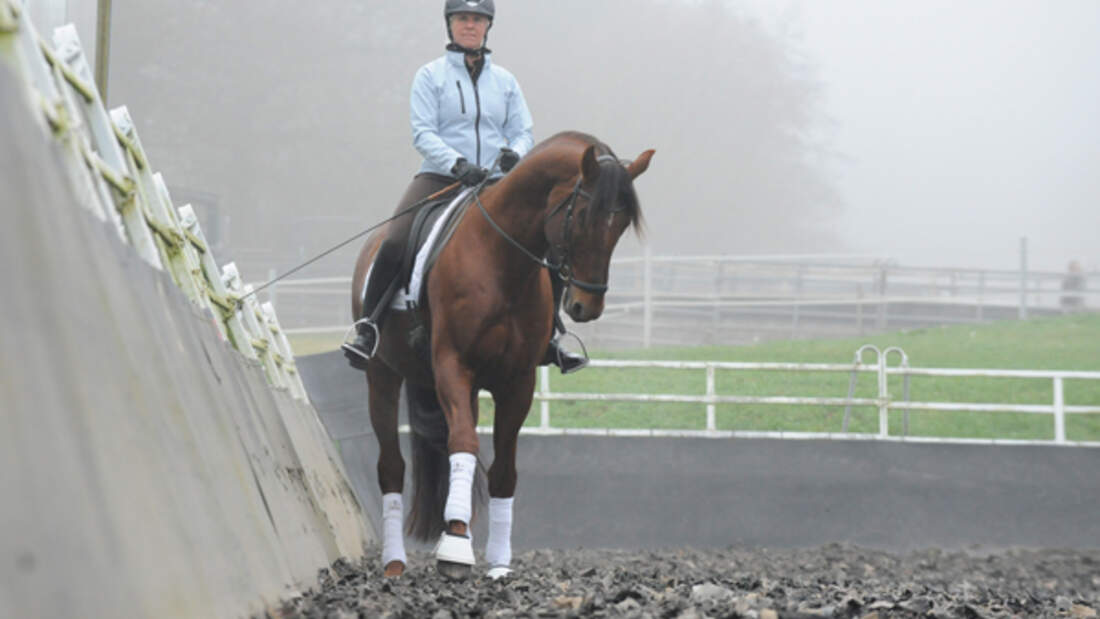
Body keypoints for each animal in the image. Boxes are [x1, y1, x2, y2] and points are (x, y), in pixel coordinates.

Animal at [350, 131, 654, 580]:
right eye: (583, 216)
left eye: (619, 226)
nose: (587, 306)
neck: (500, 263)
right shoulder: (453, 367)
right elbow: (464, 443)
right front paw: (456, 547)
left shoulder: (517, 382)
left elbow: (503, 470)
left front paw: (496, 563)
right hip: (382, 377)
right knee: (392, 466)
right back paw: (395, 562)